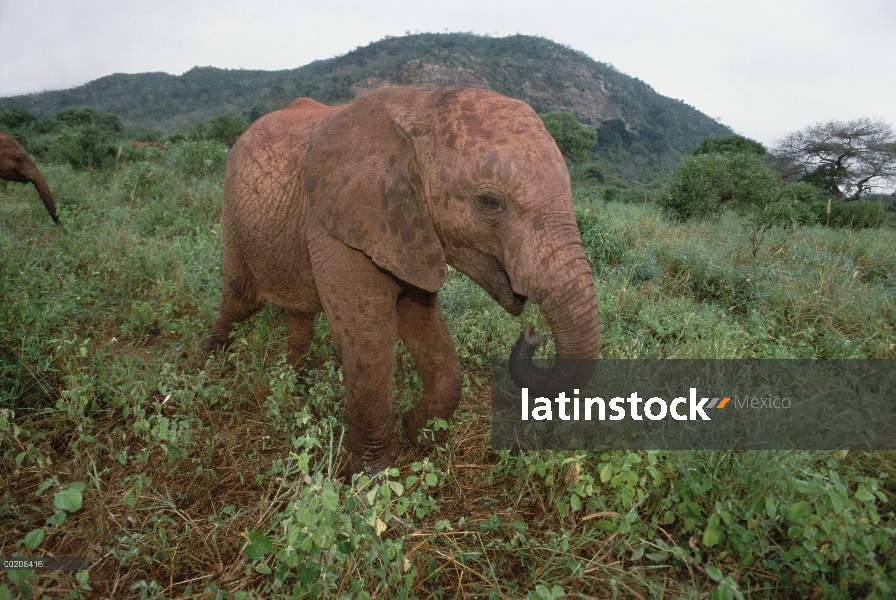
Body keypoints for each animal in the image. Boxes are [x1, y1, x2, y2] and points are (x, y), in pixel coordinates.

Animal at [203, 86, 600, 476]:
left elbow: (422, 323)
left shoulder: (409, 231)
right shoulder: (342, 224)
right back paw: (208, 362)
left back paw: (299, 380)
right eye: (490, 202)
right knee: (240, 298)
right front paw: (368, 476)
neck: (423, 106)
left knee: (297, 309)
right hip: (232, 210)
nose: (533, 335)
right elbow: (368, 338)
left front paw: (418, 434)